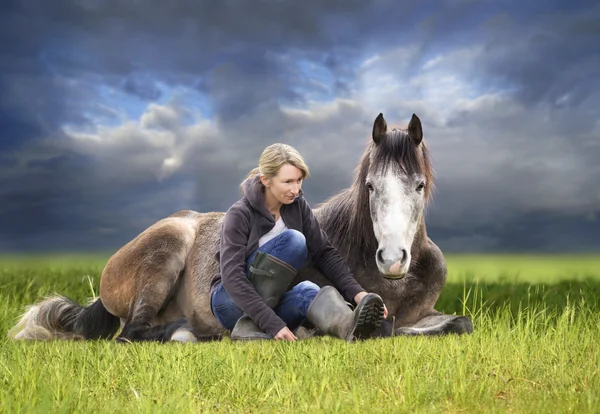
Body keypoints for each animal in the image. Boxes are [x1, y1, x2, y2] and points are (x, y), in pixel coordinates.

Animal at [7, 112, 472, 342]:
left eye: (419, 184)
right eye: (371, 185)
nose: (392, 259)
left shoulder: (425, 312)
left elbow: (460, 323)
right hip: (165, 252)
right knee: (131, 333)